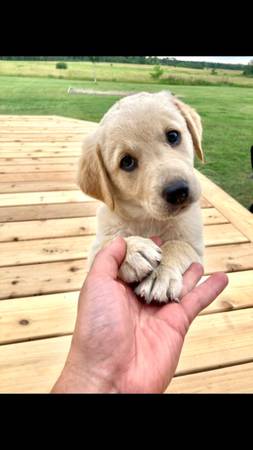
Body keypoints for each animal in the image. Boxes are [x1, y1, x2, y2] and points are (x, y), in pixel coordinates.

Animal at [78, 91, 205, 302]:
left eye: (173, 136)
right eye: (127, 162)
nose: (178, 191)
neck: (148, 217)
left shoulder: (196, 247)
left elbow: (178, 245)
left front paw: (160, 275)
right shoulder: (95, 249)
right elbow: (112, 240)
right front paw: (133, 250)